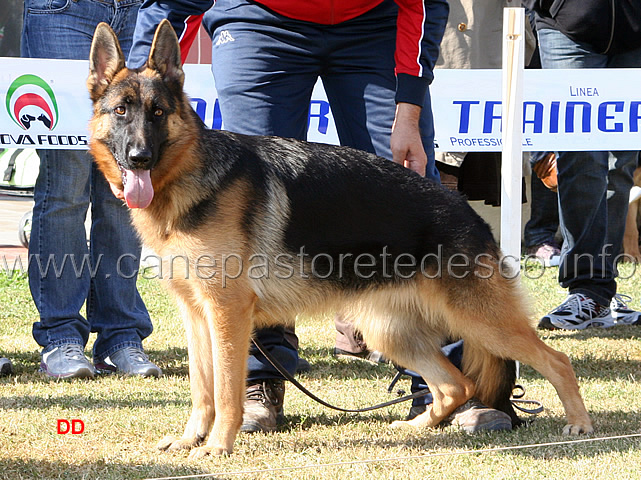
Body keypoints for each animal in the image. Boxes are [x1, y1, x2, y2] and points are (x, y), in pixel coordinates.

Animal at [87, 21, 592, 458]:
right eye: (121, 111)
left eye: (158, 113)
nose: (139, 157)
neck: (189, 177)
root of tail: (467, 211)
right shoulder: (197, 314)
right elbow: (202, 389)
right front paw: (192, 439)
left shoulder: (227, 313)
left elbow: (227, 390)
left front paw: (217, 446)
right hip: (391, 330)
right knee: (455, 385)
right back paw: (416, 426)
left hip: (481, 321)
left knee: (556, 361)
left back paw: (579, 424)